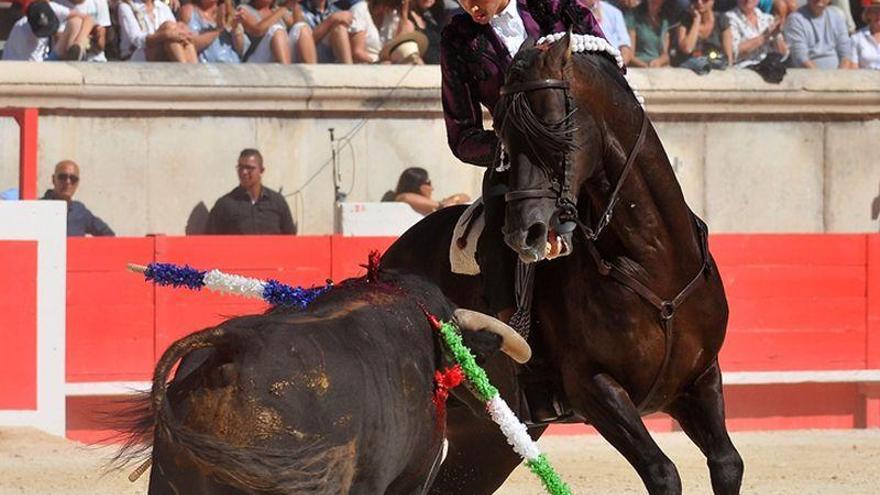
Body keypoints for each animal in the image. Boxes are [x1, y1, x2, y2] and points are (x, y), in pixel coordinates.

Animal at [384, 33, 744, 494]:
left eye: (555, 125)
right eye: (504, 135)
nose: (527, 232)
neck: (652, 260)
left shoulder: (700, 378)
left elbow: (727, 463)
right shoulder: (594, 388)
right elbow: (662, 471)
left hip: (489, 438)